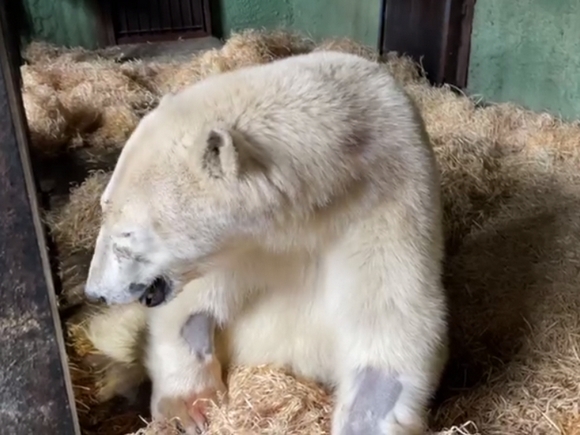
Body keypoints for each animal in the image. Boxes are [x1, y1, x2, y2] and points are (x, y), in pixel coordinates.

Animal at [85, 51, 448, 435]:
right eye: (104, 207)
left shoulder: (388, 205)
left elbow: (391, 325)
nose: (96, 292)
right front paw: (190, 408)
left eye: (126, 235)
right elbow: (193, 307)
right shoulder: (245, 248)